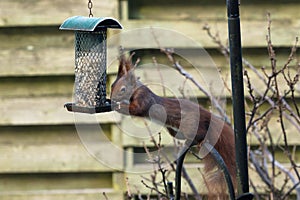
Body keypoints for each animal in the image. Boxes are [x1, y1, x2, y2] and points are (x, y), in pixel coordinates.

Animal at [110, 52, 237, 196]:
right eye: (112, 86)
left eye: (123, 89)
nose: (112, 99)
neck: (135, 90)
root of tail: (207, 116)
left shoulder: (143, 98)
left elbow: (136, 109)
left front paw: (120, 106)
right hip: (175, 131)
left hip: (191, 125)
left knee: (200, 133)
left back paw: (199, 141)